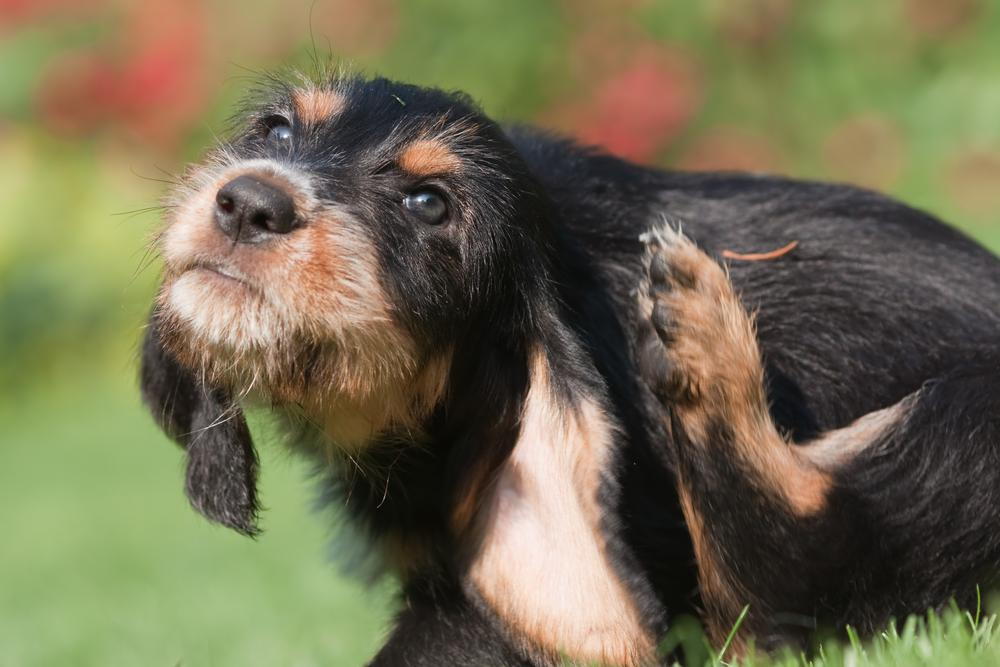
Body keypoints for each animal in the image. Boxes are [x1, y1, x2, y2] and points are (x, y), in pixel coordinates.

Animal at [139, 74, 1000, 667]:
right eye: (277, 127)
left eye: (429, 204)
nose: (248, 201)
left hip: (968, 422)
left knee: (793, 577)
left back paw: (704, 338)